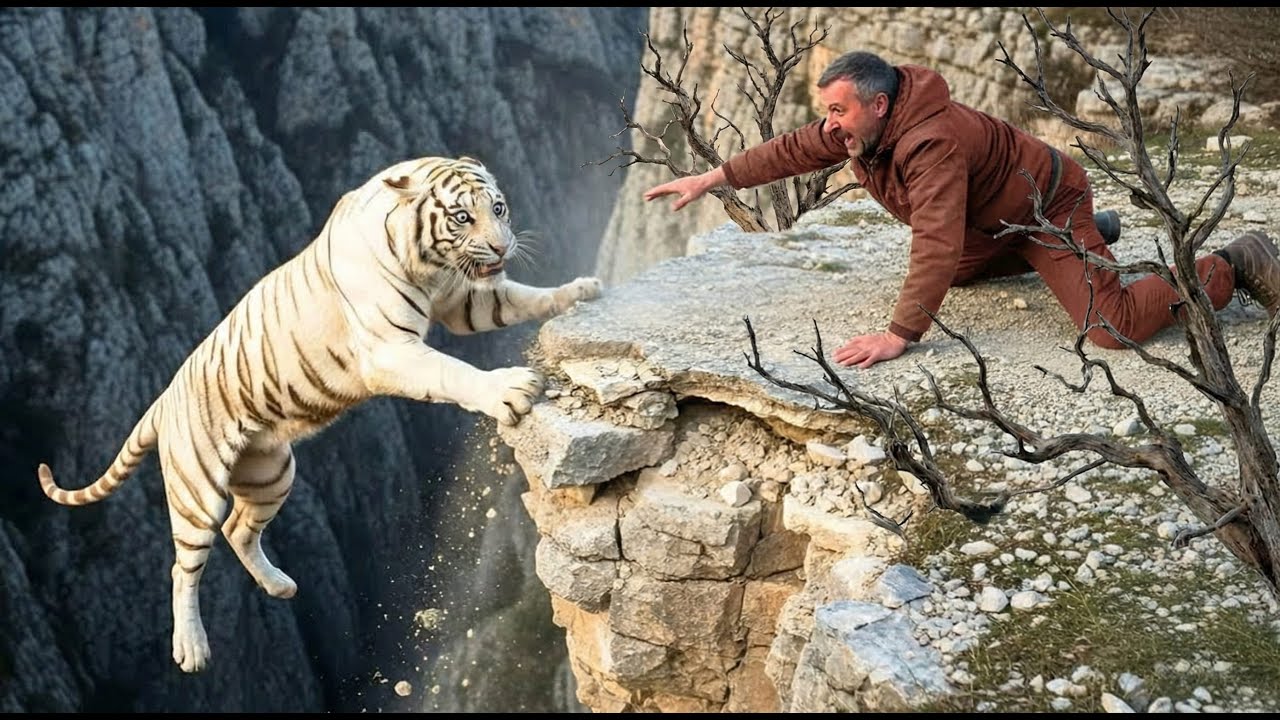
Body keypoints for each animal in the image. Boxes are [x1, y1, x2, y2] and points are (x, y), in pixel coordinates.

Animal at [36, 155, 602, 673]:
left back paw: (281, 586)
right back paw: (192, 649)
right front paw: (509, 388)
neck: (429, 265)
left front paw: (580, 290)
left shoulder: (463, 300)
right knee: (183, 566)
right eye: (462, 217)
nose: (504, 246)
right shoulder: (390, 351)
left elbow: (518, 298)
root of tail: (161, 401)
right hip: (197, 489)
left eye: (498, 208)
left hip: (271, 472)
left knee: (239, 529)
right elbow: (452, 372)